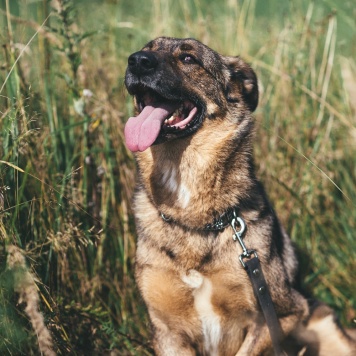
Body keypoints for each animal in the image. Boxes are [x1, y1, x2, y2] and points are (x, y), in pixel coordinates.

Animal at [123, 37, 356, 354]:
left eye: (188, 58)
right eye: (148, 47)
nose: (136, 60)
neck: (195, 219)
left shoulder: (282, 314)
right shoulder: (167, 331)